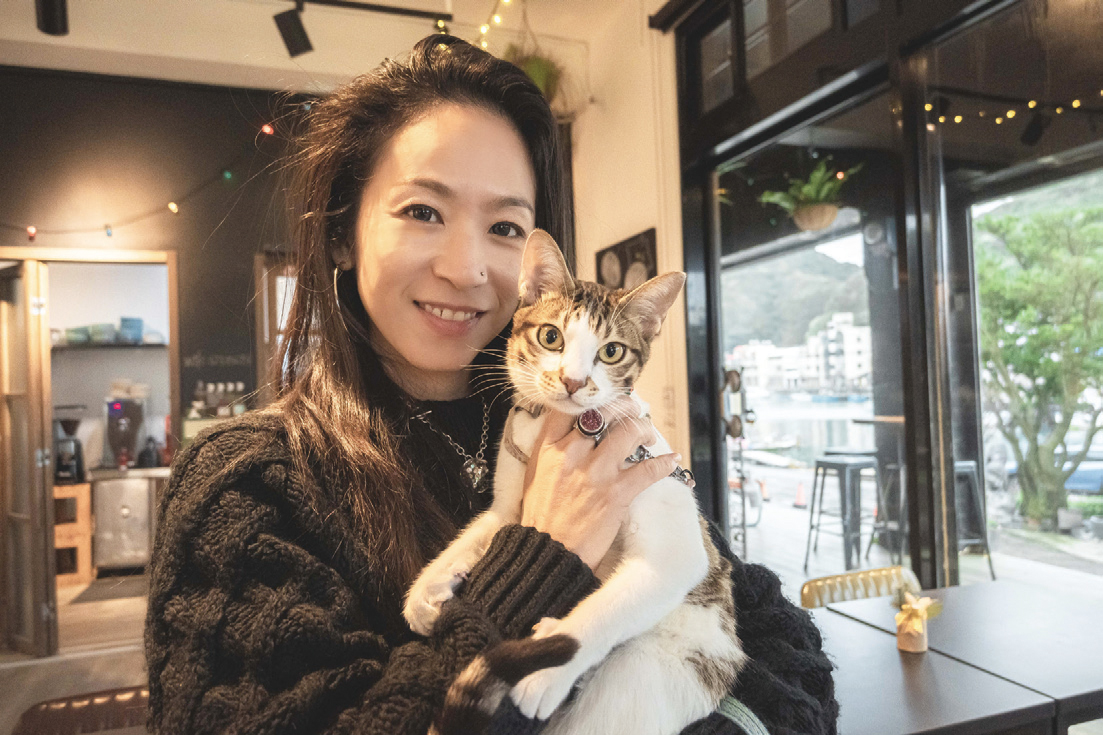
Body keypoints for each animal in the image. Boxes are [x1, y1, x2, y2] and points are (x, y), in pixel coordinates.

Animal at [403, 229, 746, 735]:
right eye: (551, 336)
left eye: (611, 351)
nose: (572, 380)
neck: (559, 426)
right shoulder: (511, 488)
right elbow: (487, 528)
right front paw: (428, 587)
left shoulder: (671, 531)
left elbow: (628, 593)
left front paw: (549, 667)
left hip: (649, 673)